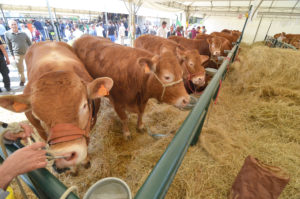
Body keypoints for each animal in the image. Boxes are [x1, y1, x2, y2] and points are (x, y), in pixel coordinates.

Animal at [0, 41, 113, 172]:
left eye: (84, 105)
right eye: (37, 116)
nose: (66, 153)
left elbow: (86, 141)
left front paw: (85, 161)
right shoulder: (40, 130)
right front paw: (73, 169)